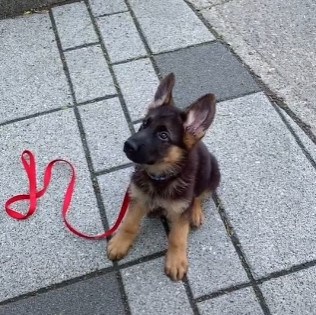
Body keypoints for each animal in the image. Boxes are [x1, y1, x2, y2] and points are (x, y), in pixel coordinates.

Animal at [106, 73, 220, 282]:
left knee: (199, 196)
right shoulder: (138, 197)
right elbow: (129, 223)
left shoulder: (181, 210)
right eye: (144, 123)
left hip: (212, 174)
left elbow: (177, 236)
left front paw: (176, 261)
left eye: (164, 135)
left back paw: (195, 212)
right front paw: (120, 242)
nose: (127, 145)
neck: (160, 177)